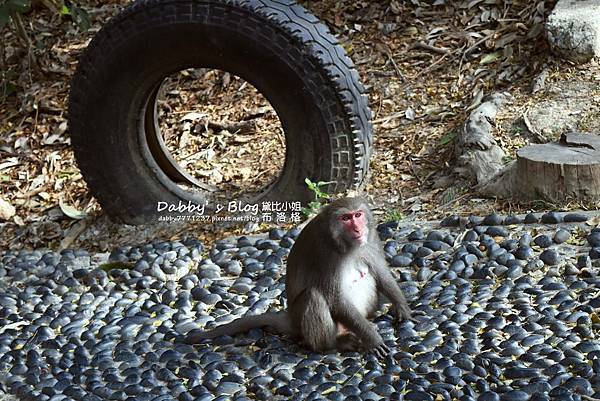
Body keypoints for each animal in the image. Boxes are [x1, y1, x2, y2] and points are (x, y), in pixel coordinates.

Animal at [180, 197, 410, 356]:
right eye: (345, 218)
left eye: (358, 215)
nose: (357, 228)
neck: (346, 244)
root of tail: (291, 317)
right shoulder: (324, 254)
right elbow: (334, 297)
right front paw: (373, 339)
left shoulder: (371, 239)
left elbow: (380, 272)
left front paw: (401, 307)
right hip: (305, 320)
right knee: (313, 296)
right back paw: (334, 344)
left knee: (366, 275)